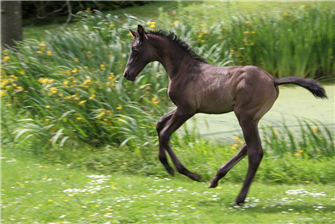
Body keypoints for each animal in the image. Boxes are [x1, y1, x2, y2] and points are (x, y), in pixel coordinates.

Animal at [123, 25, 328, 205]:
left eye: (135, 49)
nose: (127, 74)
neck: (183, 70)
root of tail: (273, 79)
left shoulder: (186, 110)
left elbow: (165, 134)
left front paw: (190, 174)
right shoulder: (183, 108)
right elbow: (159, 124)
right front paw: (167, 167)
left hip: (244, 116)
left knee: (255, 152)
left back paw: (238, 198)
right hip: (253, 118)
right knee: (247, 147)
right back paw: (216, 179)